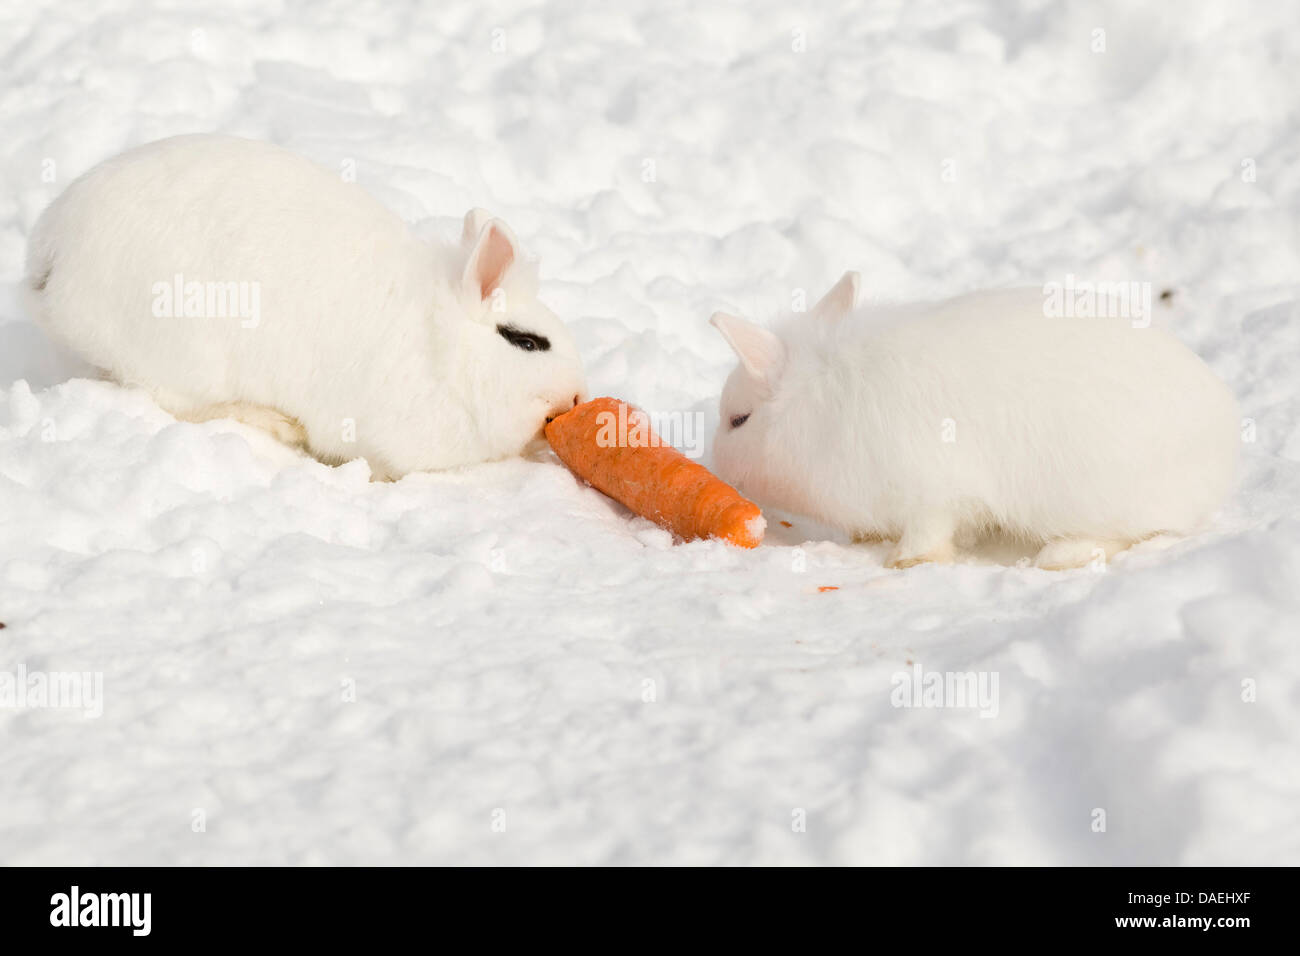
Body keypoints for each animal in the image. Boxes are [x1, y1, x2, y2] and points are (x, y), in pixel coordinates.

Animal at [22, 134, 585, 478]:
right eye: (526, 342)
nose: (579, 395)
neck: (440, 348)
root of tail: (52, 260)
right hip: (187, 351)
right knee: (178, 403)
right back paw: (275, 423)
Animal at [712, 273, 1237, 567]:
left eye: (739, 420)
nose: (717, 465)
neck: (816, 398)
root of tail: (1221, 451)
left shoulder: (933, 491)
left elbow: (930, 531)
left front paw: (905, 561)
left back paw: (1058, 558)